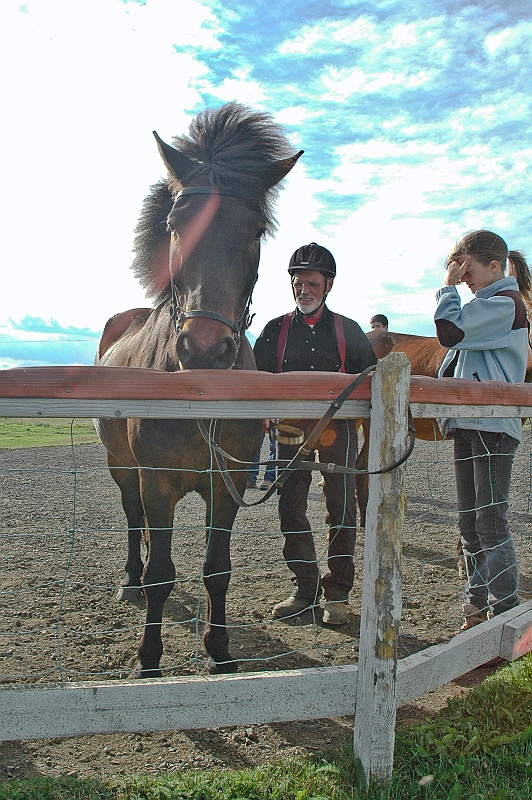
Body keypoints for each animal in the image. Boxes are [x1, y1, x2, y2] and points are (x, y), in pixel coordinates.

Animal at [94, 103, 303, 677]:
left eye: (256, 230)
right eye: (174, 225)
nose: (205, 349)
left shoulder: (226, 484)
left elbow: (217, 569)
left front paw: (220, 649)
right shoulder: (157, 482)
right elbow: (163, 574)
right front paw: (149, 659)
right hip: (124, 470)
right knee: (133, 522)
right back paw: (130, 579)